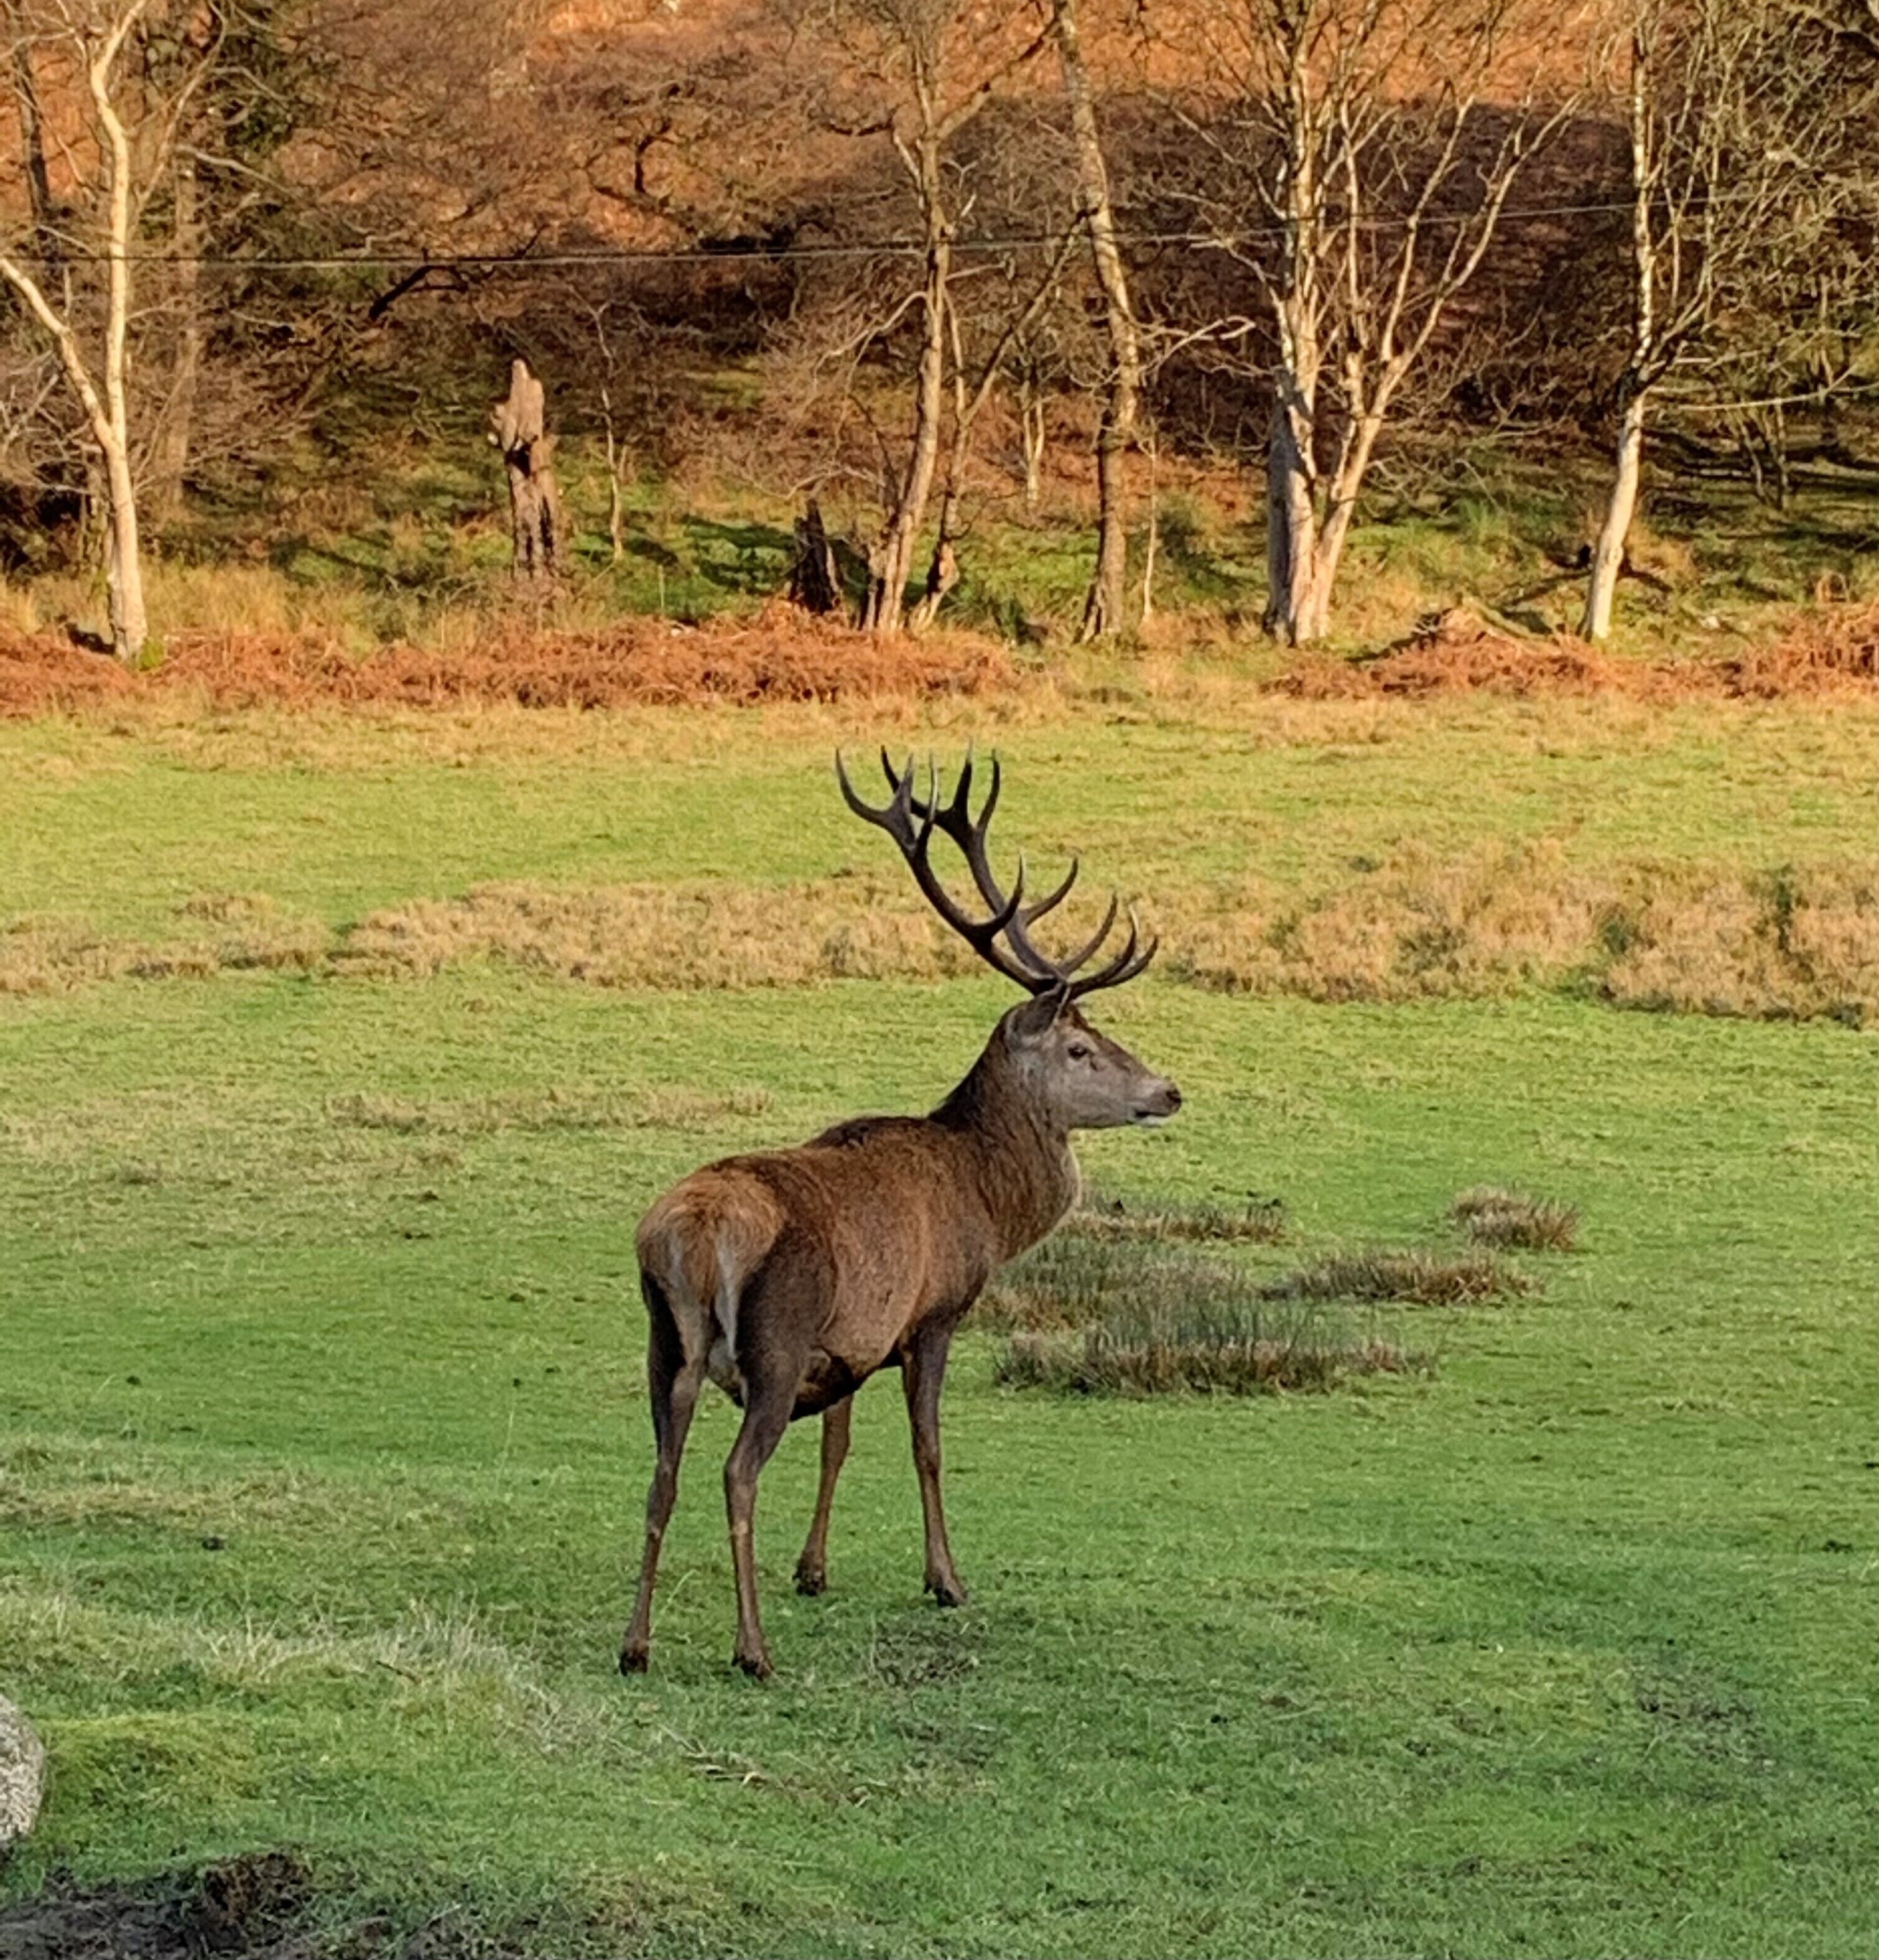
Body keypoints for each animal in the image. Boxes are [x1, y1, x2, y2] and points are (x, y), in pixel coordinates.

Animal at [620, 751, 1181, 1679]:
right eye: (1079, 1048)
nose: (1168, 1090)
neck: (985, 1198)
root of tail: (693, 1235)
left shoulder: (848, 1346)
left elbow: (837, 1443)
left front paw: (813, 1569)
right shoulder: (934, 1312)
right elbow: (928, 1444)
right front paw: (947, 1578)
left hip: (664, 1338)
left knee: (660, 1470)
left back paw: (635, 1643)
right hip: (772, 1338)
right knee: (735, 1471)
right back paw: (752, 1649)